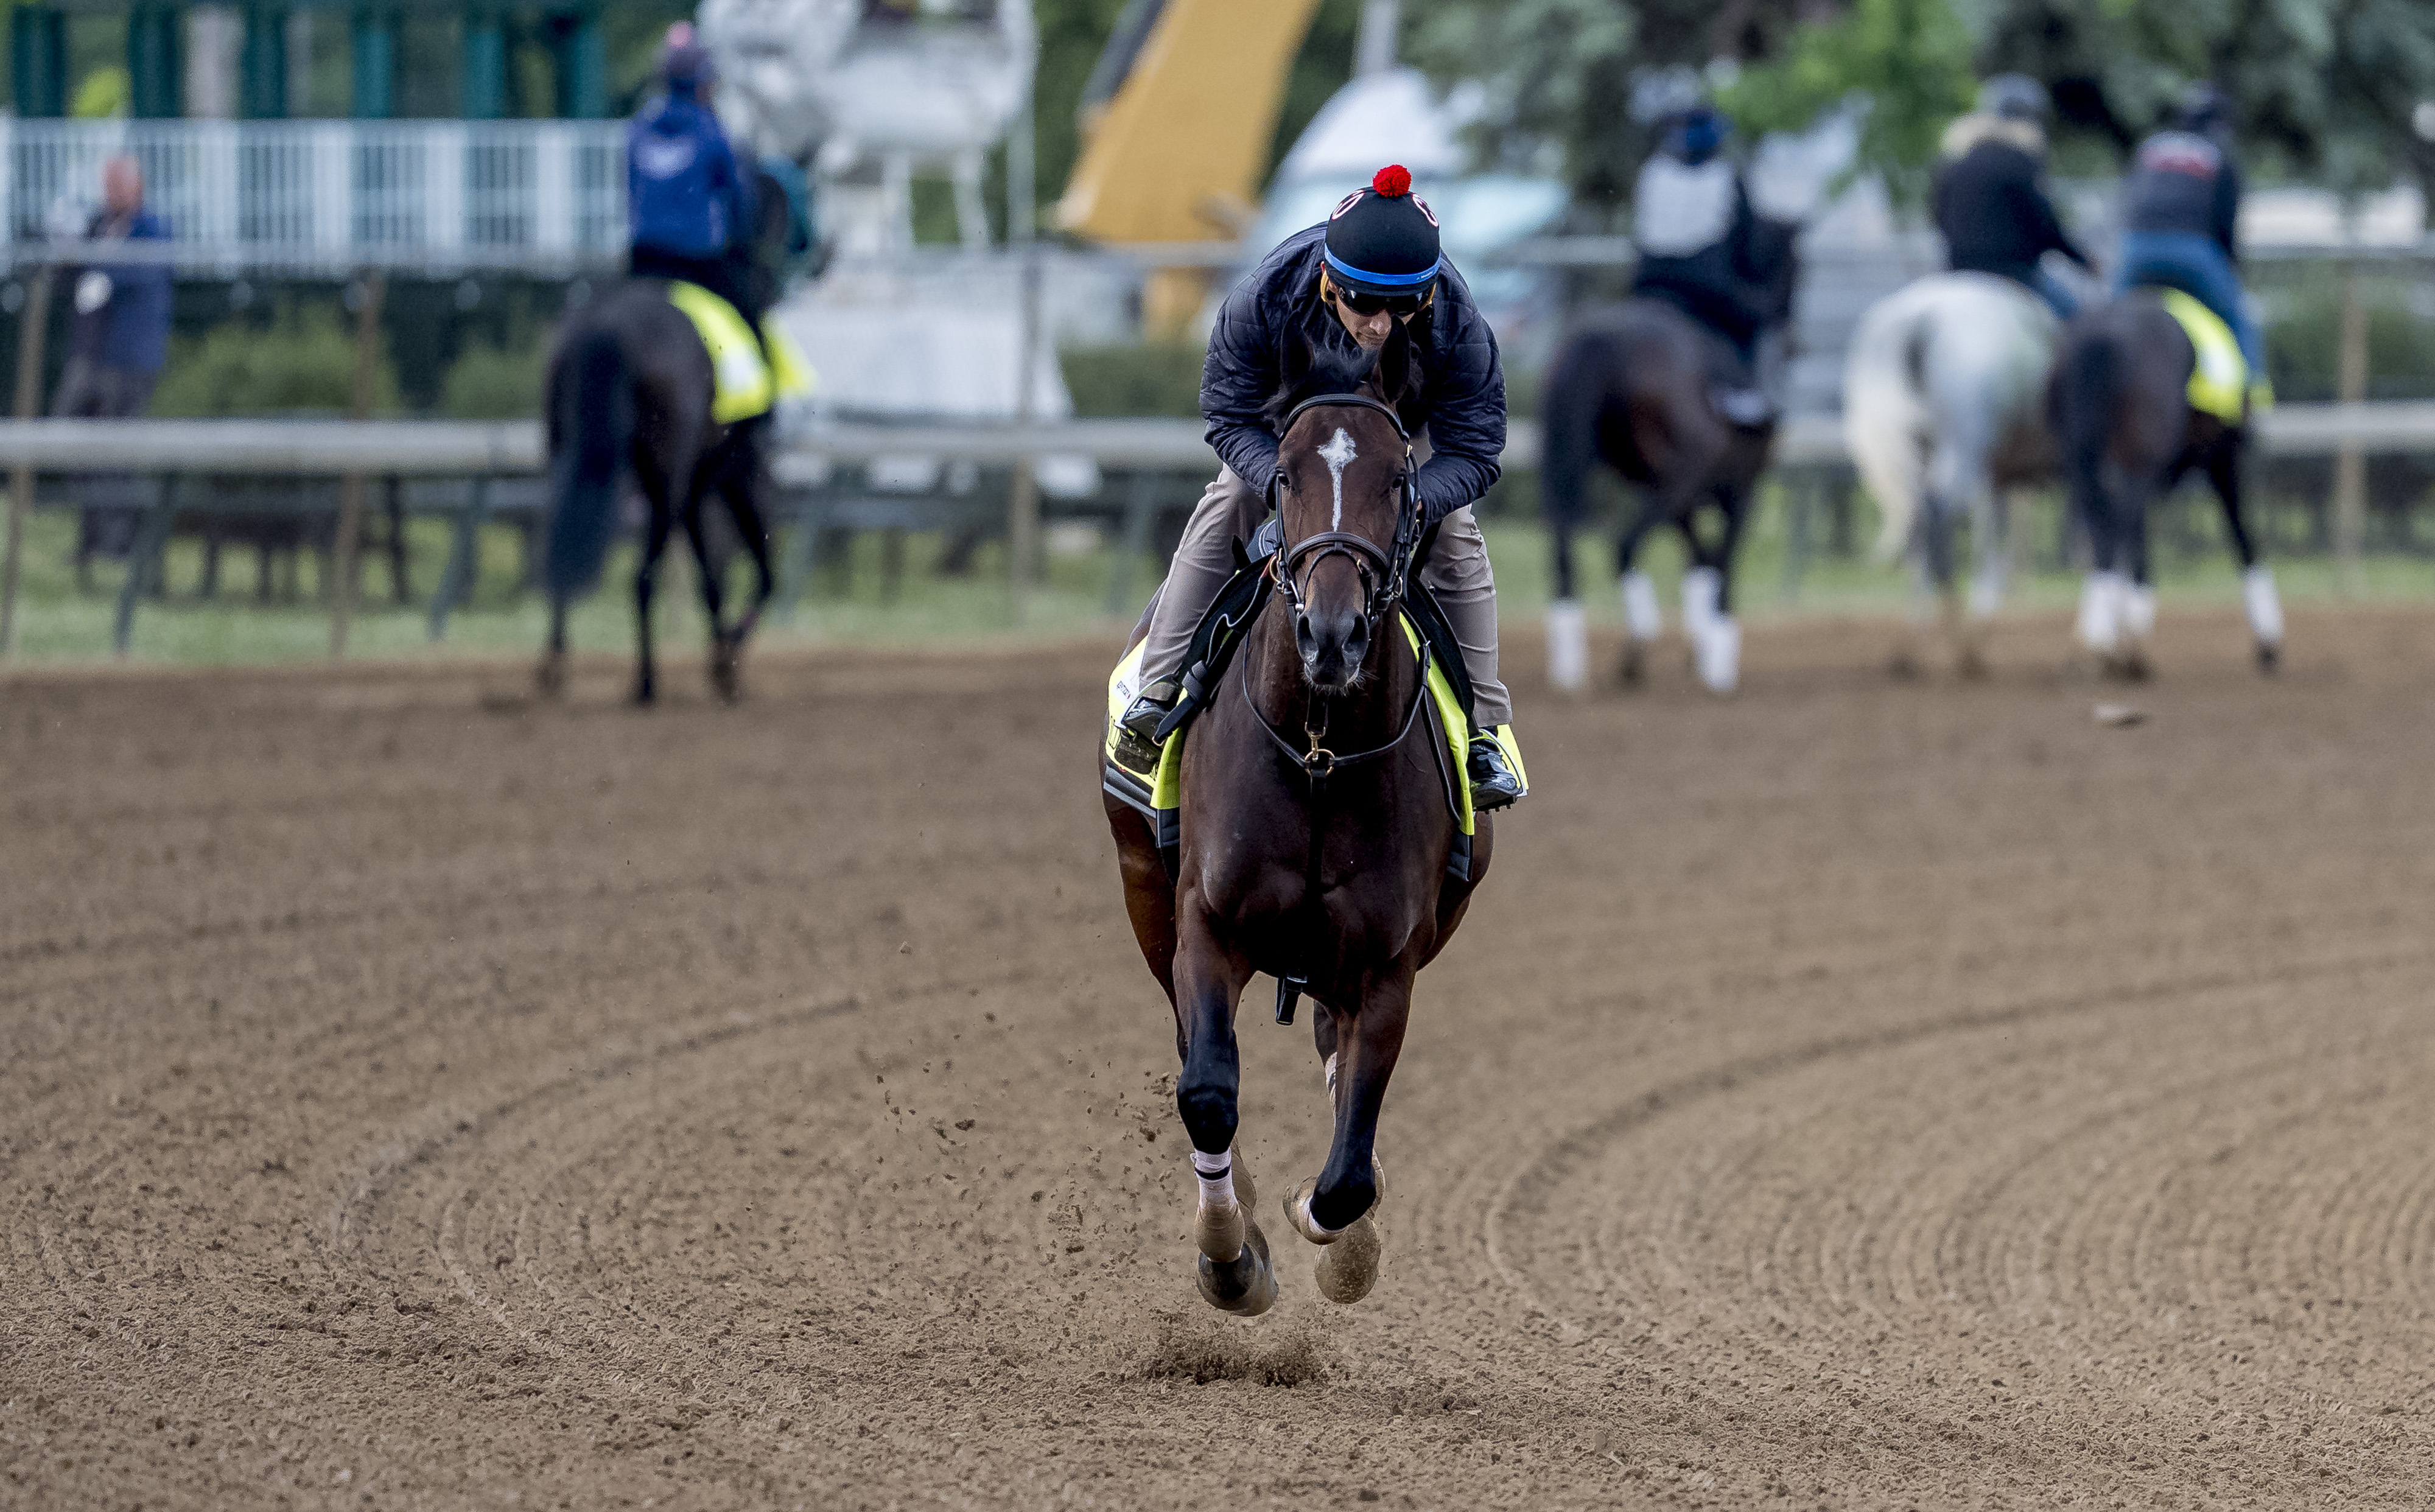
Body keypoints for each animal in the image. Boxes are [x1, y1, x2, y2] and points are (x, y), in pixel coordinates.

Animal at [535, 165, 795, 705]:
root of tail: (610, 324)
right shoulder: (734, 471)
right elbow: (761, 575)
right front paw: (726, 659)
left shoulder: (698, 486)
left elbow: (712, 581)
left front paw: (722, 658)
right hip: (667, 476)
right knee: (642, 577)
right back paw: (647, 682)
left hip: (566, 458)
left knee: (560, 554)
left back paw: (555, 665)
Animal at [1103, 331, 1489, 1316]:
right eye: (1283, 473)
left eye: (1399, 478)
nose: (1332, 635)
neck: (1317, 754)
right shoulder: (1206, 921)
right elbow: (1207, 1090)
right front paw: (1232, 1259)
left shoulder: (1388, 964)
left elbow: (1348, 1173)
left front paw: (1341, 1239)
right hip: (1144, 892)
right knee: (1197, 1053)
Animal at [1538, 216, 1801, 695]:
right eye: (1794, 265)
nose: (1792, 340)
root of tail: (1601, 339)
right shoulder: (1742, 490)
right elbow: (1723, 560)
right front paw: (1719, 658)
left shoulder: (1683, 497)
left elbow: (1701, 558)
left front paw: (1701, 644)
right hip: (1682, 474)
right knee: (1624, 543)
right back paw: (1639, 643)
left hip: (1568, 464)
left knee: (1566, 547)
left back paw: (1571, 670)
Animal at [1842, 271, 2058, 675]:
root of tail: (1920, 320)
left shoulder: (1998, 478)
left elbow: (1993, 533)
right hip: (1960, 457)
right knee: (1936, 521)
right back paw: (1961, 637)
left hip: (1899, 453)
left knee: (1918, 527)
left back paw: (1917, 640)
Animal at [2047, 290, 2282, 678]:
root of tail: (2105, 333)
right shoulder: (2223, 461)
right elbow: (2243, 537)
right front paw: (2268, 640)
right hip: (2138, 462)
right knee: (2121, 521)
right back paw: (2117, 636)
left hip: (2080, 460)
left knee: (2105, 522)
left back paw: (2101, 632)